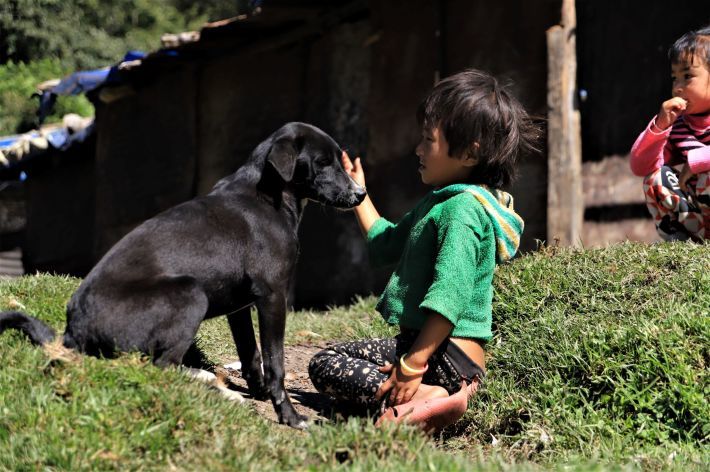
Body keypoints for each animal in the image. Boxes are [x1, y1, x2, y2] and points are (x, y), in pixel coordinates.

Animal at [0, 121, 368, 428]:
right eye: (322, 162)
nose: (360, 194)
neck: (268, 195)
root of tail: (73, 331)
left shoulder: (239, 307)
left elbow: (251, 356)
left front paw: (259, 393)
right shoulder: (273, 296)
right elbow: (275, 362)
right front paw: (289, 416)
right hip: (189, 294)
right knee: (158, 368)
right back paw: (209, 385)